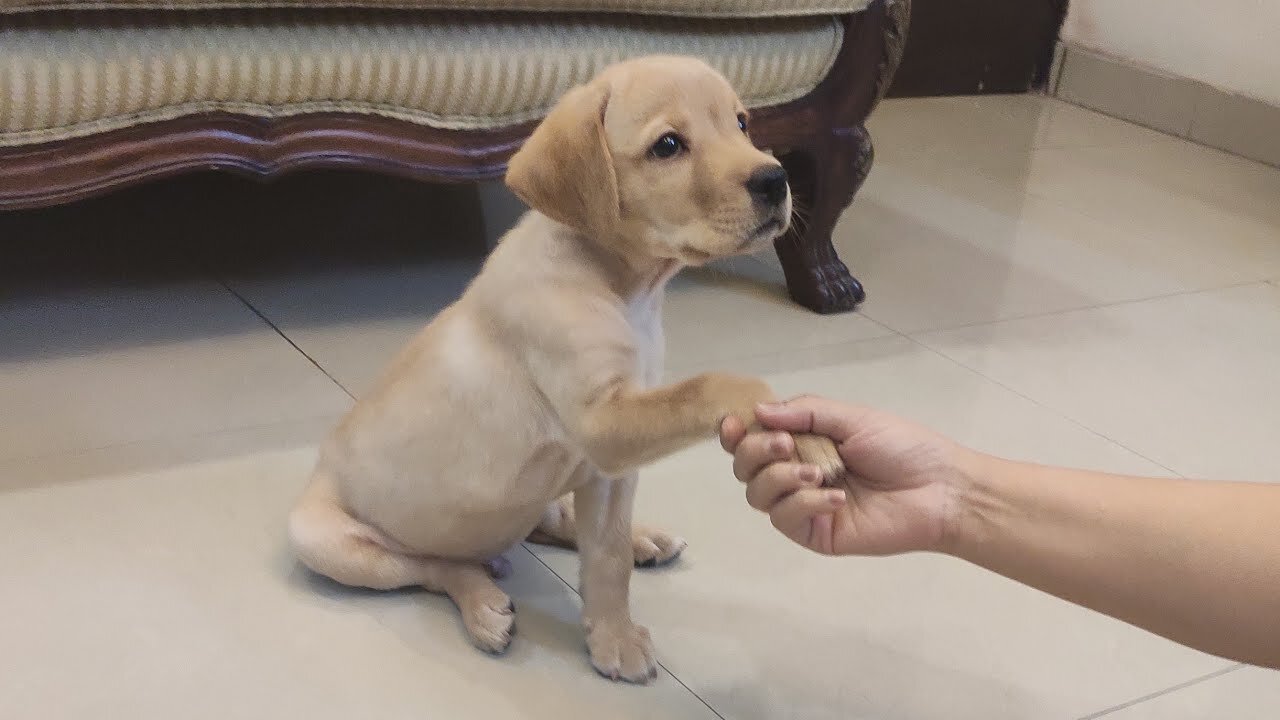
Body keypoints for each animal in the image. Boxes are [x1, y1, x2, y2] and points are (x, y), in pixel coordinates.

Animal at [293, 54, 849, 676]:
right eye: (668, 145)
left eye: (742, 123)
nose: (776, 180)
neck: (622, 287)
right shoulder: (602, 423)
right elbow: (718, 383)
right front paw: (809, 437)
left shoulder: (611, 464)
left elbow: (607, 556)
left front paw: (612, 632)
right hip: (329, 545)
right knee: (436, 568)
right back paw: (481, 603)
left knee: (551, 520)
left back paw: (642, 539)